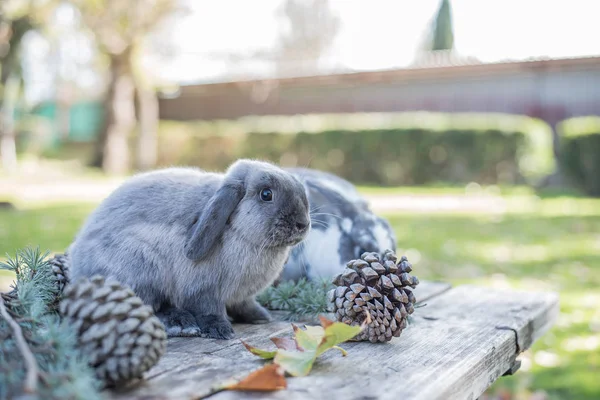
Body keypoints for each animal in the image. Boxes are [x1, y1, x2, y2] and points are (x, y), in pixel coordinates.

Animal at [68, 158, 312, 340]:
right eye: (266, 194)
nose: (303, 224)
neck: (239, 233)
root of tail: (79, 270)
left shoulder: (241, 296)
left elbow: (244, 304)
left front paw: (260, 316)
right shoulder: (203, 291)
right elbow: (209, 310)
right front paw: (220, 330)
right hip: (142, 265)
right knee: (154, 306)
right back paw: (182, 324)